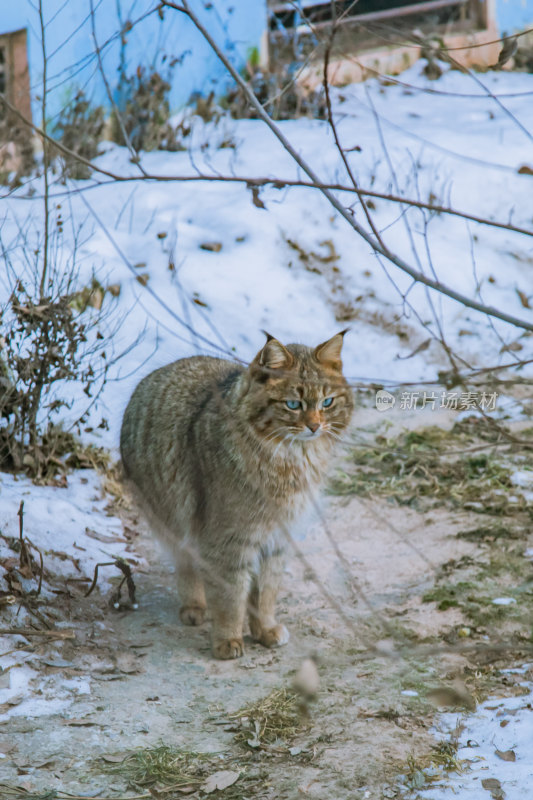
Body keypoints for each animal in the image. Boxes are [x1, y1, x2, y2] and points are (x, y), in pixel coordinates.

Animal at [120, 330, 354, 656]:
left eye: (328, 402)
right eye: (293, 404)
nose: (315, 427)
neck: (290, 460)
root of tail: (160, 371)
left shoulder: (276, 537)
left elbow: (266, 590)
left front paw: (264, 629)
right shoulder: (229, 537)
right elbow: (231, 593)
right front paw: (227, 639)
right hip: (170, 515)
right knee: (185, 558)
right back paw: (194, 606)